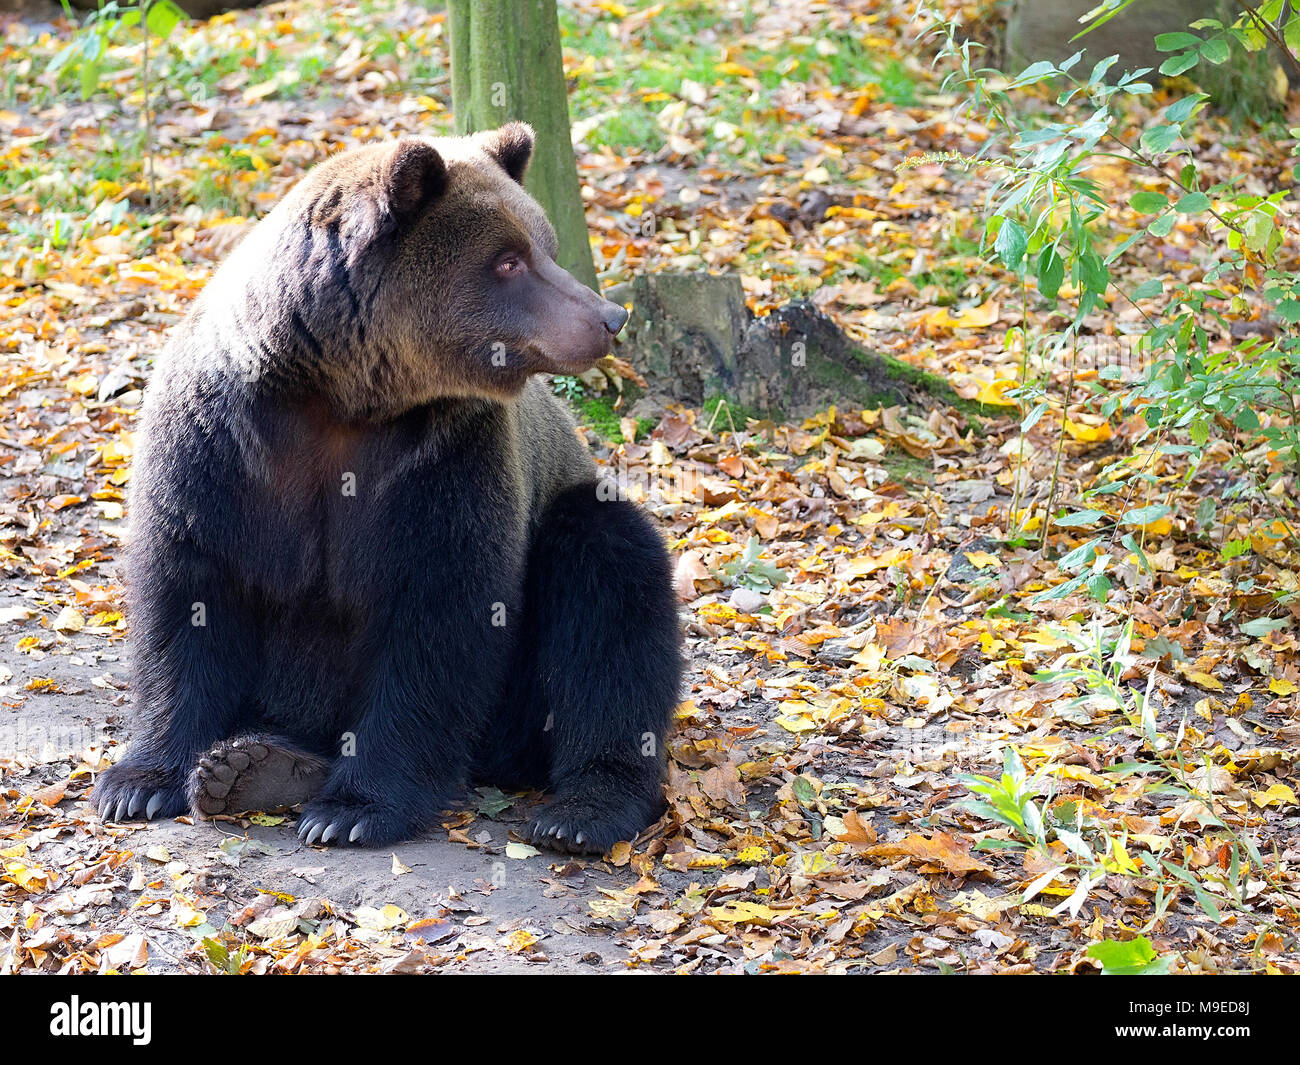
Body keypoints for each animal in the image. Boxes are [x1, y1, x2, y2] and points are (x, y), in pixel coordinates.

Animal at [90, 124, 681, 853]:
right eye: (509, 259)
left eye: (542, 244)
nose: (608, 316)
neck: (337, 395)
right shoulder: (219, 445)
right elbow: (186, 594)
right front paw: (139, 782)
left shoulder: (440, 461)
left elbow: (437, 614)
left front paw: (354, 809)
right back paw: (255, 765)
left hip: (532, 644)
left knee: (608, 580)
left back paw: (583, 811)